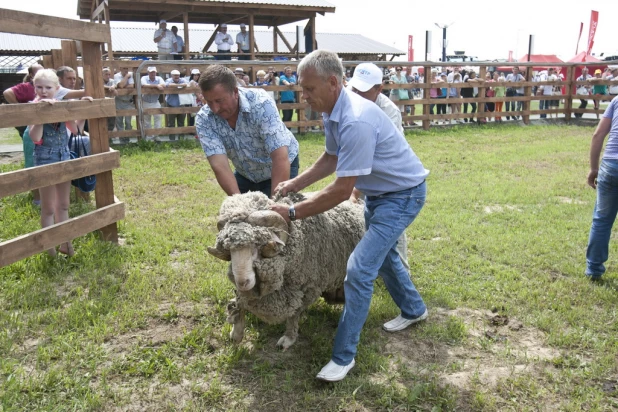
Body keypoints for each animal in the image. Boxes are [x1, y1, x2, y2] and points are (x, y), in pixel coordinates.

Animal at [207, 192, 364, 350]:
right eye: (229, 250)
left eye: (257, 246)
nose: (242, 282)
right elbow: (240, 302)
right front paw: (237, 330)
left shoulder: (307, 289)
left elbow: (294, 314)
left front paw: (289, 338)